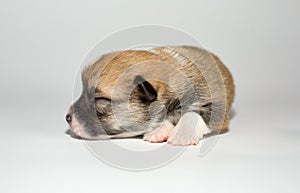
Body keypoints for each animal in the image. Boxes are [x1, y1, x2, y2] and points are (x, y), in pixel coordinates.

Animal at [65, 46, 234, 146]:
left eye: (99, 99)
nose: (67, 118)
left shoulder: (218, 108)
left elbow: (195, 112)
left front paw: (182, 133)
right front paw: (158, 130)